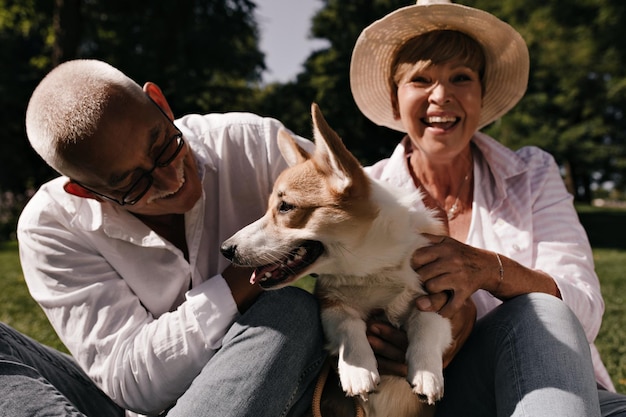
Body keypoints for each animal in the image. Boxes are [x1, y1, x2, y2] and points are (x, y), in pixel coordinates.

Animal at [219, 104, 448, 416]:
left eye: (285, 206)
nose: (225, 249)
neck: (369, 268)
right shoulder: (328, 304)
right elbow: (348, 323)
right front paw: (359, 370)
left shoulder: (446, 298)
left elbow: (427, 319)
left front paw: (427, 375)